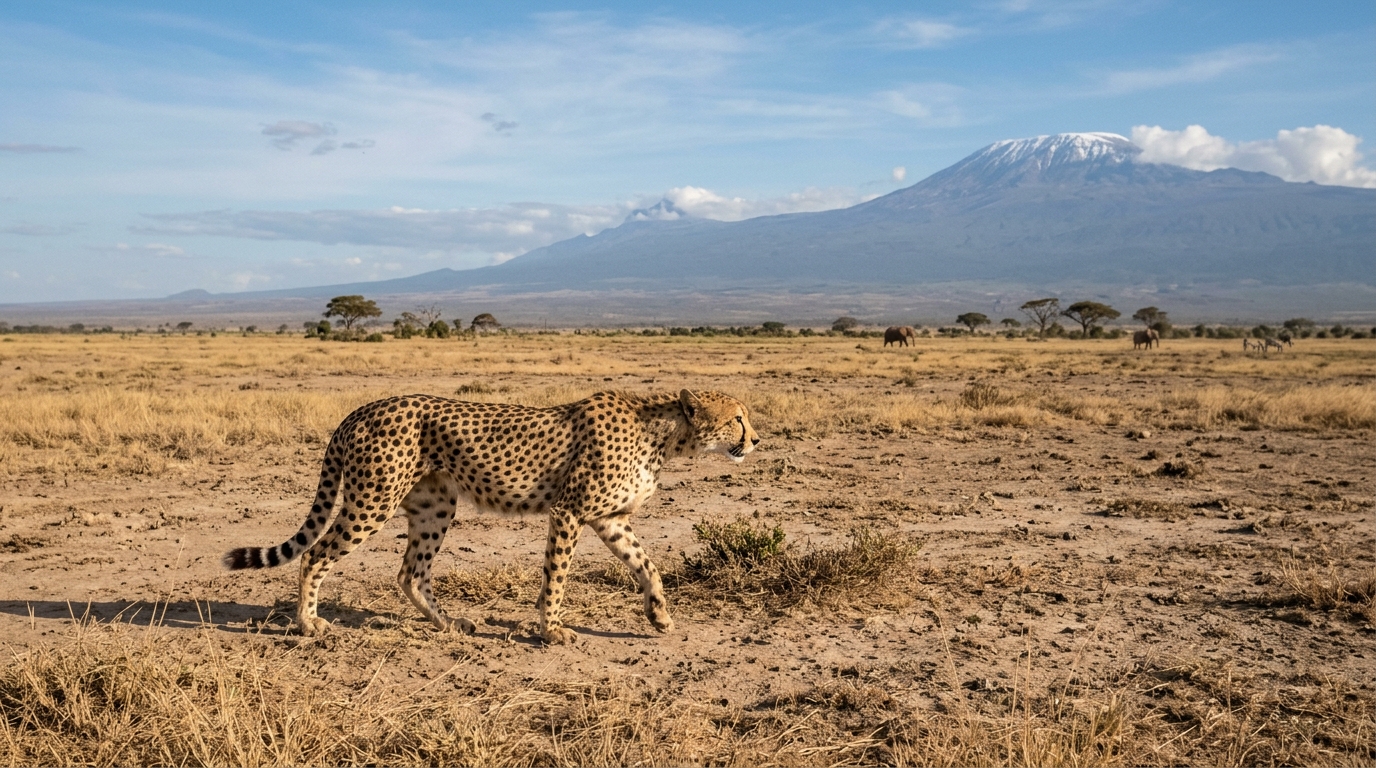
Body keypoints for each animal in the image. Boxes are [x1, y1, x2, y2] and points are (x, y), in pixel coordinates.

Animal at [223, 388, 759, 644]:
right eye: (737, 417)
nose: (756, 439)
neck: (665, 434)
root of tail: (363, 408)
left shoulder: (610, 518)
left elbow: (648, 565)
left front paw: (660, 615)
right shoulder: (570, 510)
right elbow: (558, 575)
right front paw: (551, 630)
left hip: (435, 506)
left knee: (411, 573)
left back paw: (450, 625)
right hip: (372, 500)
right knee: (314, 555)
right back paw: (308, 624)